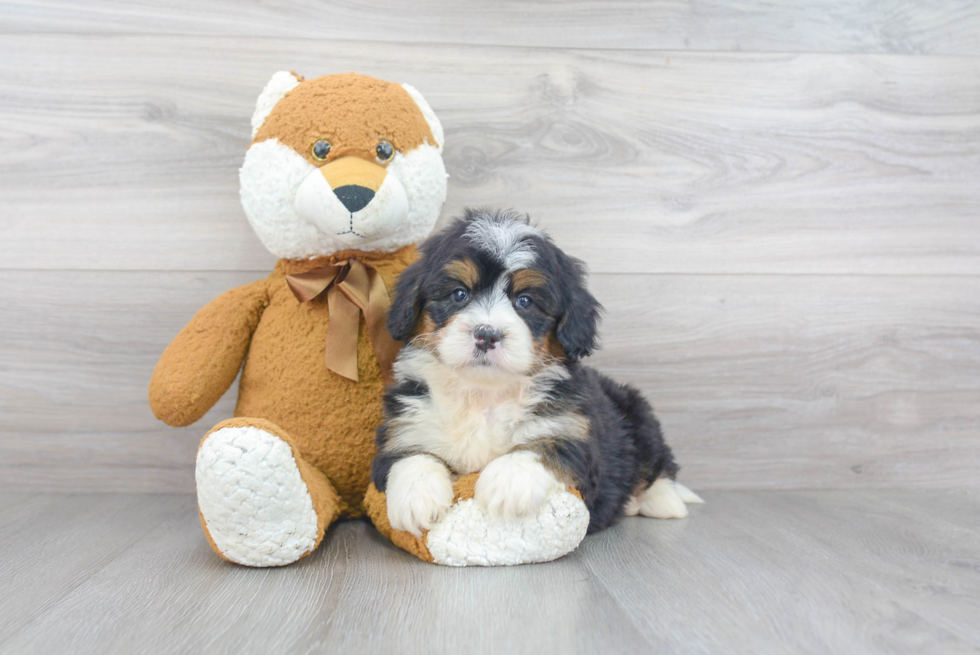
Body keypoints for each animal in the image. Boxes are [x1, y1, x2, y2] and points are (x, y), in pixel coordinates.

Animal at [372, 210, 700, 540]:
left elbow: (545, 445)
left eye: (525, 301)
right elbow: (409, 454)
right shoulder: (404, 424)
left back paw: (662, 501)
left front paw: (508, 481)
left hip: (639, 414)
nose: (487, 334)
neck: (484, 394)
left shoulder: (573, 429)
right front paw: (416, 496)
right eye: (459, 294)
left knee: (659, 465)